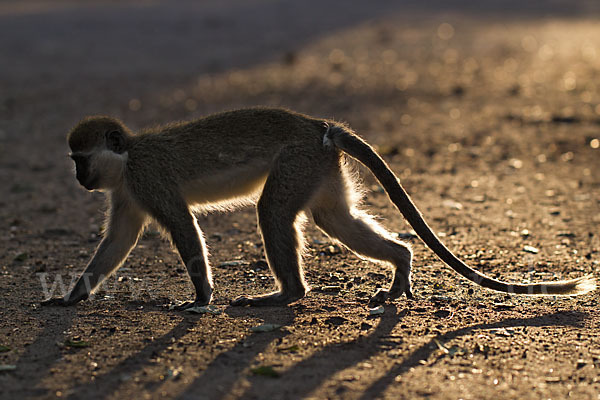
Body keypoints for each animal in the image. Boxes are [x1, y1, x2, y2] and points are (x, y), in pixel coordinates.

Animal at [41, 108, 596, 308]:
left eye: (79, 159)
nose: (79, 178)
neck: (128, 158)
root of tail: (319, 126)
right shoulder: (126, 191)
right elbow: (118, 241)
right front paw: (70, 298)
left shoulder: (147, 181)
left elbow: (180, 224)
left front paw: (200, 298)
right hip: (321, 170)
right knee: (336, 220)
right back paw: (400, 264)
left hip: (298, 160)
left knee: (272, 212)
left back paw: (287, 294)